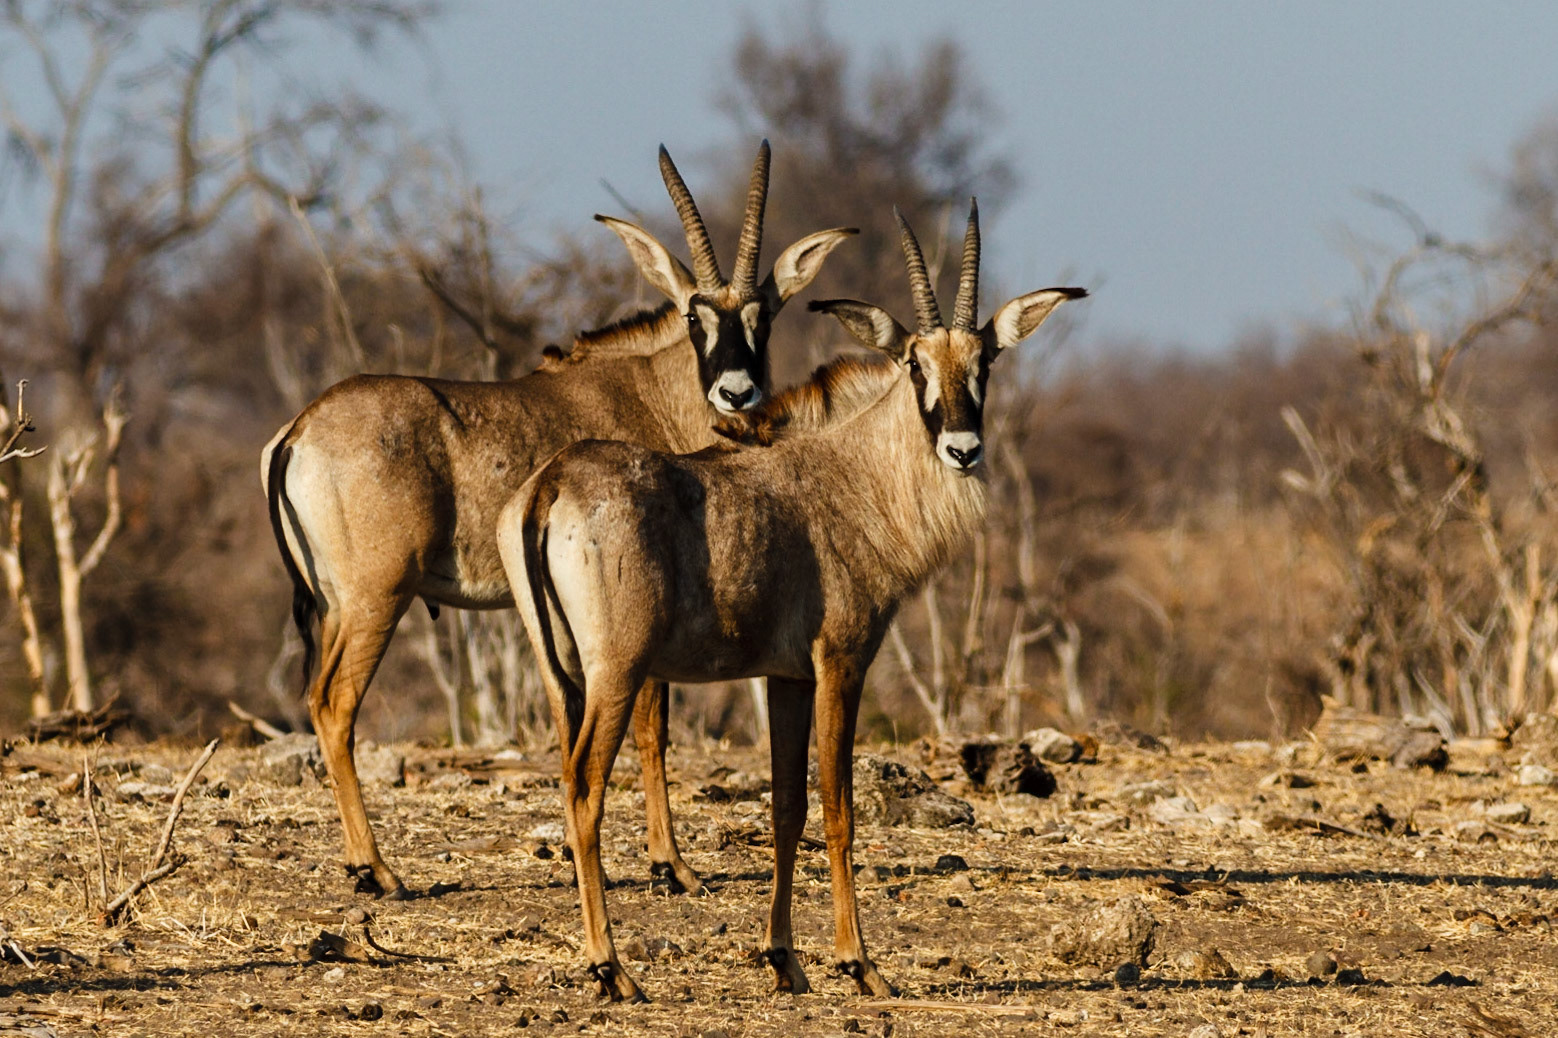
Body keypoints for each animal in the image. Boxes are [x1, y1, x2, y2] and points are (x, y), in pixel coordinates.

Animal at [262, 142, 855, 900]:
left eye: (764, 317)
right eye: (695, 317)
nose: (736, 391)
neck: (651, 392)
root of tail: (299, 430)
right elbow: (653, 729)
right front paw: (671, 864)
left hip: (340, 604)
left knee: (316, 701)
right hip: (377, 597)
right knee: (337, 705)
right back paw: (379, 869)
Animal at [499, 199, 1085, 1001]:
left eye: (986, 361)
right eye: (914, 362)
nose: (963, 449)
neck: (853, 475)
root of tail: (552, 485)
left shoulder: (784, 677)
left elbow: (787, 806)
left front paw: (784, 958)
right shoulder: (841, 664)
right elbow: (838, 809)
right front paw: (858, 961)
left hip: (563, 673)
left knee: (565, 777)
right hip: (617, 672)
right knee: (586, 787)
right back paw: (610, 968)